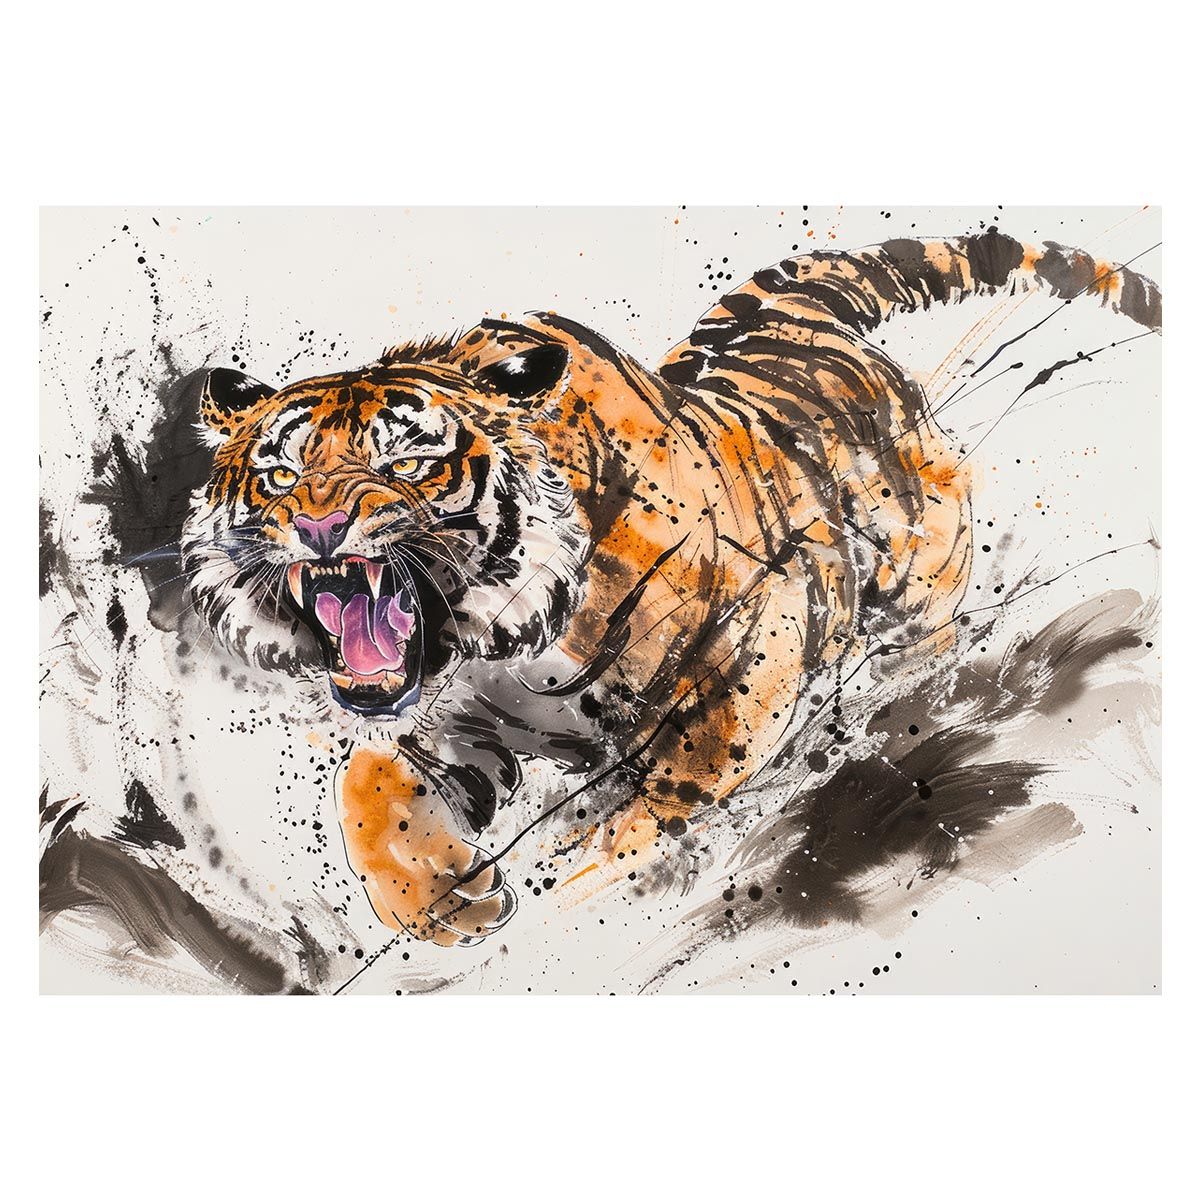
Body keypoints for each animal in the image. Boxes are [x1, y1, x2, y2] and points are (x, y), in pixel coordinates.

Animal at [182, 228, 1161, 947]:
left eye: (407, 462)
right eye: (279, 473)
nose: (317, 527)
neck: (504, 639)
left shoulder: (749, 653)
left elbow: (656, 806)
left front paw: (589, 882)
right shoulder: (451, 719)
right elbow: (367, 782)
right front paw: (438, 902)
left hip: (920, 581)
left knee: (922, 645)